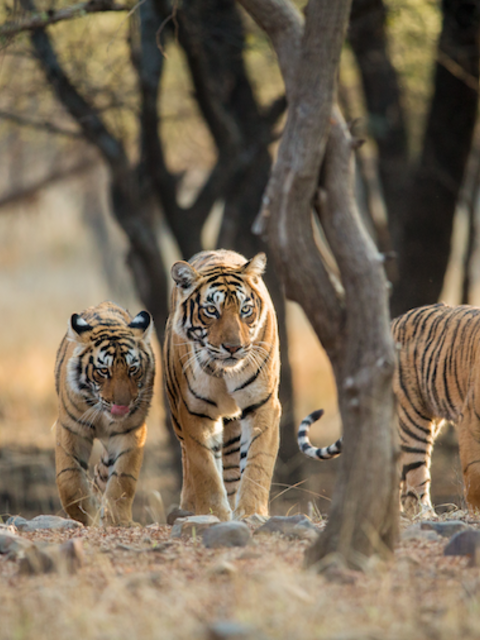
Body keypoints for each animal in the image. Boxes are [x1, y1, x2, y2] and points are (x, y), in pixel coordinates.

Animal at [54, 301, 155, 526]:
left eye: (133, 369)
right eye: (103, 371)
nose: (122, 405)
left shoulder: (131, 431)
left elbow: (123, 479)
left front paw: (117, 520)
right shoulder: (71, 429)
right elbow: (69, 480)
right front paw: (85, 515)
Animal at [163, 249, 281, 522]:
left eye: (245, 309)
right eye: (211, 310)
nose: (233, 347)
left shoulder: (263, 404)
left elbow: (257, 462)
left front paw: (251, 512)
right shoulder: (195, 410)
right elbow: (204, 468)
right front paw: (213, 513)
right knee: (188, 462)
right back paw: (188, 507)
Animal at [298, 303, 480, 514]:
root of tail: (394, 321)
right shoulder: (471, 421)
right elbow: (474, 474)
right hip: (412, 418)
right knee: (414, 481)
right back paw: (424, 515)